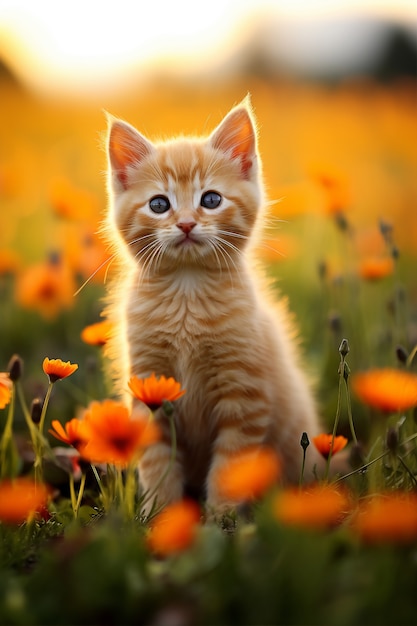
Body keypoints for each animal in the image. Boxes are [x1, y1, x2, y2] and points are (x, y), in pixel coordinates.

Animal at [102, 97, 324, 516]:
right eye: (159, 204)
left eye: (210, 200)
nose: (187, 223)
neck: (187, 293)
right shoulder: (149, 386)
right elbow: (156, 459)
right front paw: (162, 516)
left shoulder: (244, 395)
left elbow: (231, 465)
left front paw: (221, 517)